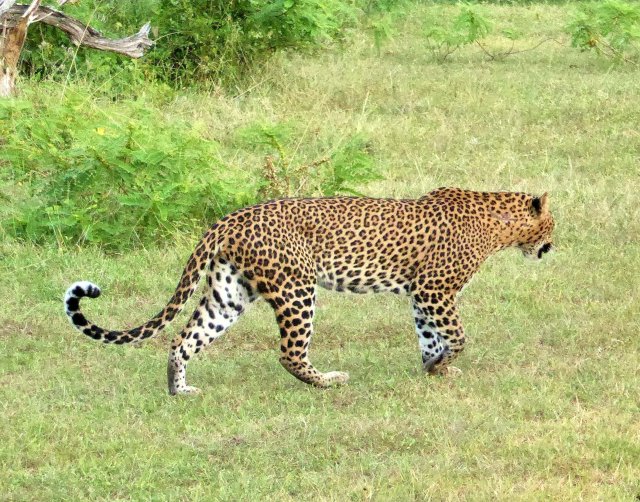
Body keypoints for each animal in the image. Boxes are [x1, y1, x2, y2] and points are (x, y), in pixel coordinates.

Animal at [64, 187, 555, 395]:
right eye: (552, 224)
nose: (553, 246)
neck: (499, 223)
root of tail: (228, 219)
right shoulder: (436, 289)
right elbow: (456, 335)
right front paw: (443, 365)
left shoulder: (420, 294)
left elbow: (428, 335)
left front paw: (434, 368)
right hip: (296, 288)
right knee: (289, 353)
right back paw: (328, 382)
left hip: (229, 293)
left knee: (184, 338)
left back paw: (178, 389)